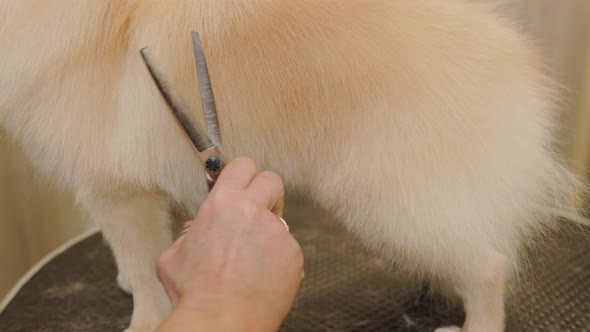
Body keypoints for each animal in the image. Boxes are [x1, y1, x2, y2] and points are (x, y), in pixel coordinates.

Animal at [0, 0, 588, 332]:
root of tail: (516, 63)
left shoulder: (116, 192)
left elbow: (144, 270)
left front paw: (145, 320)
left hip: (385, 202)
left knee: (489, 266)